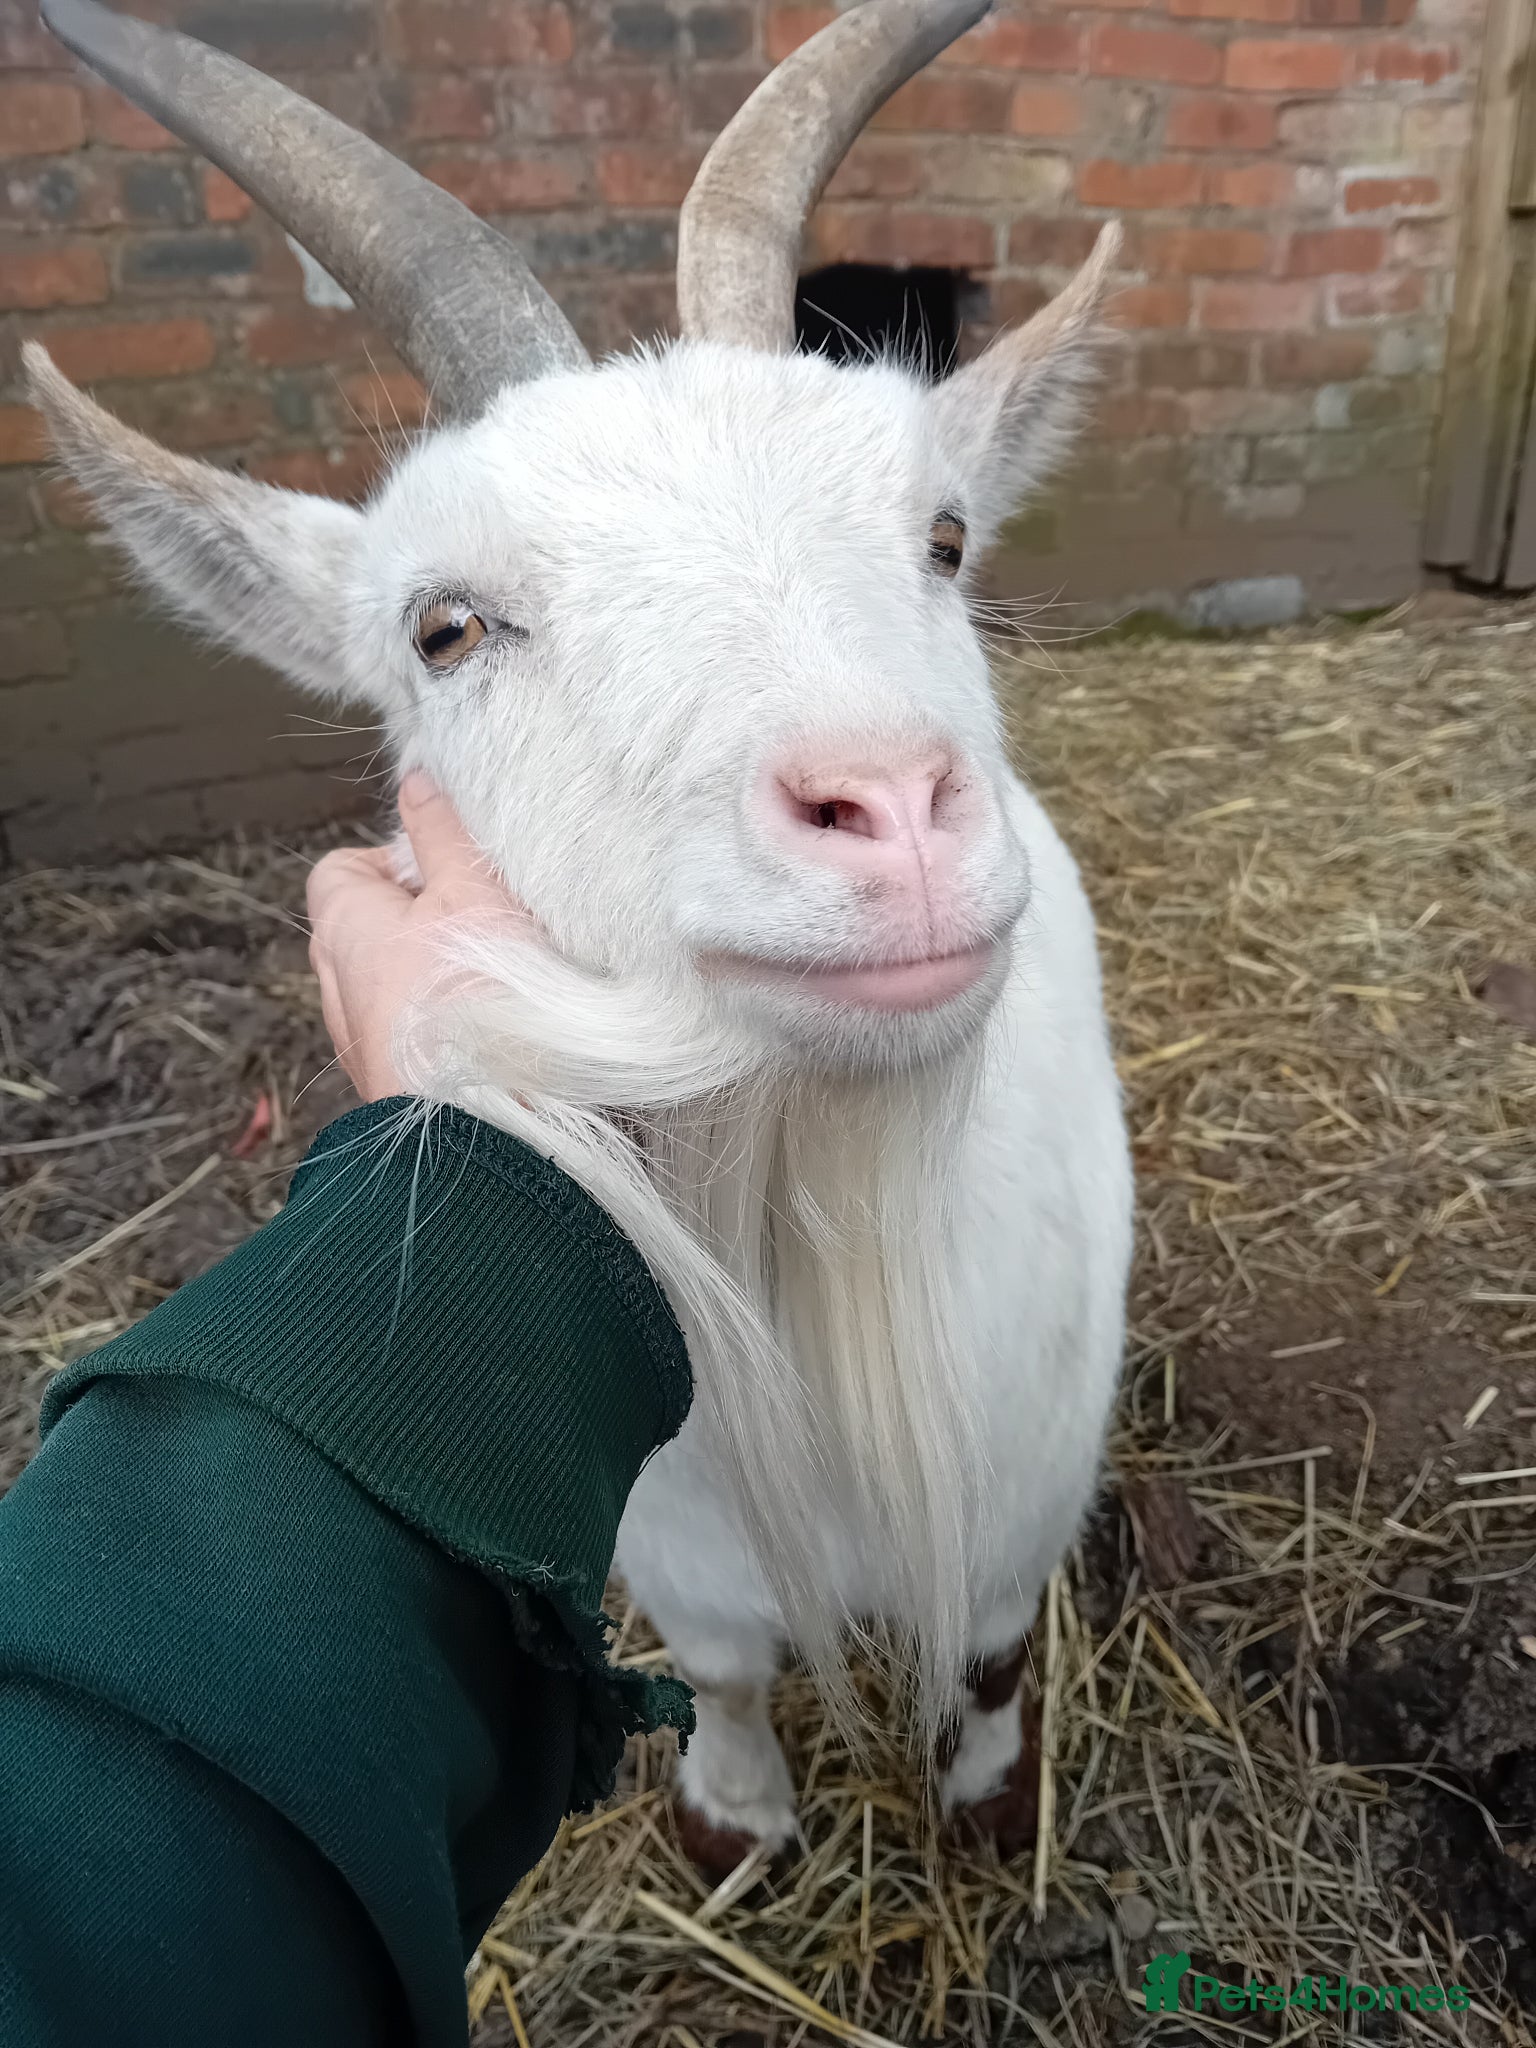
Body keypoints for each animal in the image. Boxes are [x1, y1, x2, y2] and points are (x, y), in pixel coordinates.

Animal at [27, 0, 1134, 1872]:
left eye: (943, 535)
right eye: (446, 628)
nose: (890, 807)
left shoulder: (1030, 1472)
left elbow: (987, 1650)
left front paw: (990, 1800)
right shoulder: (674, 1530)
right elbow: (728, 1667)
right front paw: (737, 1820)